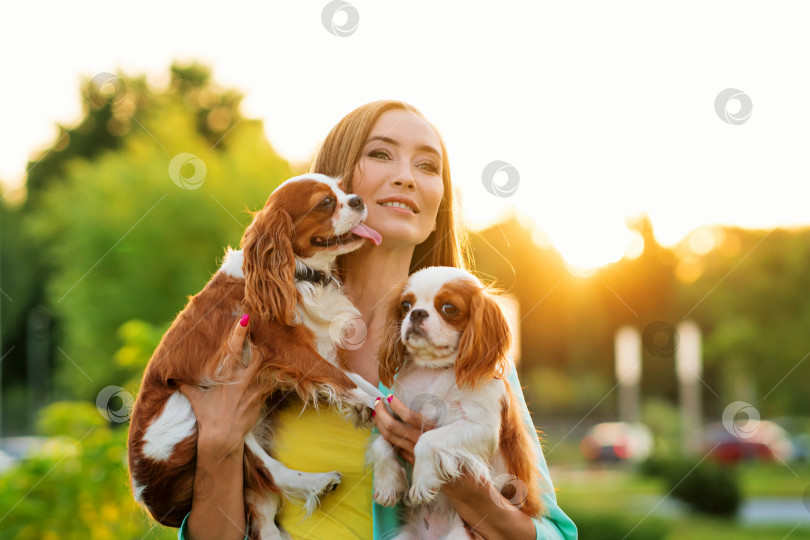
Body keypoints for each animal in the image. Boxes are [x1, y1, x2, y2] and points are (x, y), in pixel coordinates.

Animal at [127, 174, 382, 540]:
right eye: (325, 203)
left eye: (343, 189)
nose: (359, 200)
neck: (295, 273)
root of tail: (145, 496)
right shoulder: (290, 351)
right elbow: (344, 381)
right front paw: (378, 406)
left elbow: (355, 379)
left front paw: (383, 402)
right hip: (185, 414)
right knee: (264, 469)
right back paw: (316, 482)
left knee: (261, 512)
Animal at [368, 266, 544, 540]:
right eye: (406, 305)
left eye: (449, 308)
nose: (416, 313)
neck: (435, 369)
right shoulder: (396, 415)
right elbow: (380, 441)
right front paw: (387, 484)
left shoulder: (480, 428)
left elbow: (428, 439)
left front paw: (422, 481)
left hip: (461, 533)